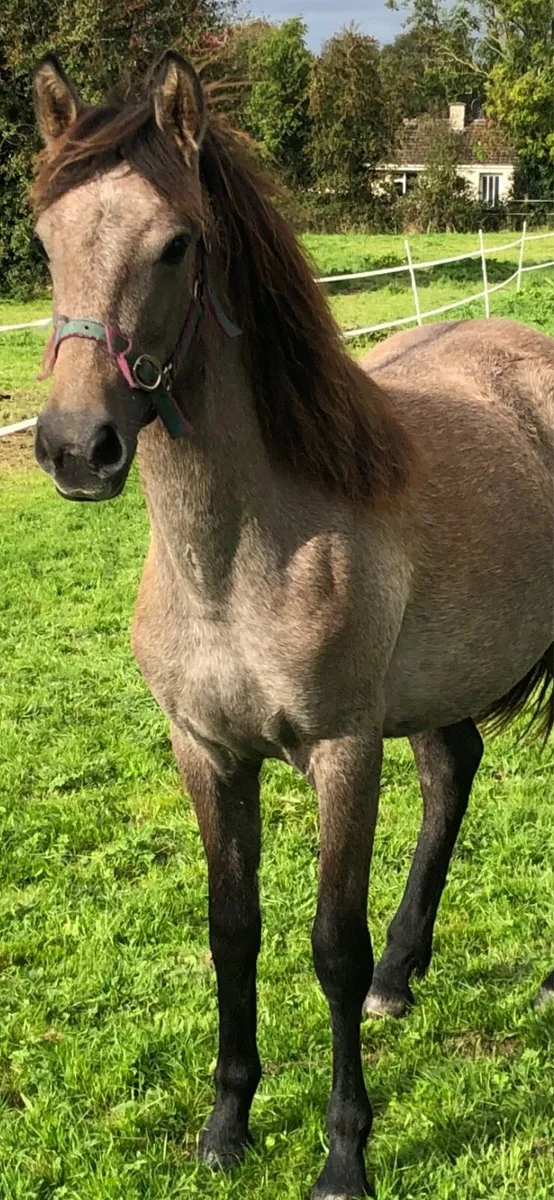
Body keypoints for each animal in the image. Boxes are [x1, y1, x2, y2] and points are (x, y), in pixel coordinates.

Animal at [31, 50, 553, 1200]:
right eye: (43, 238)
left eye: (176, 244)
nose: (75, 446)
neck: (237, 560)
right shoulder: (205, 750)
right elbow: (232, 933)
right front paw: (226, 1125)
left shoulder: (342, 751)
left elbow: (328, 947)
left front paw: (343, 1155)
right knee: (451, 769)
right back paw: (405, 974)